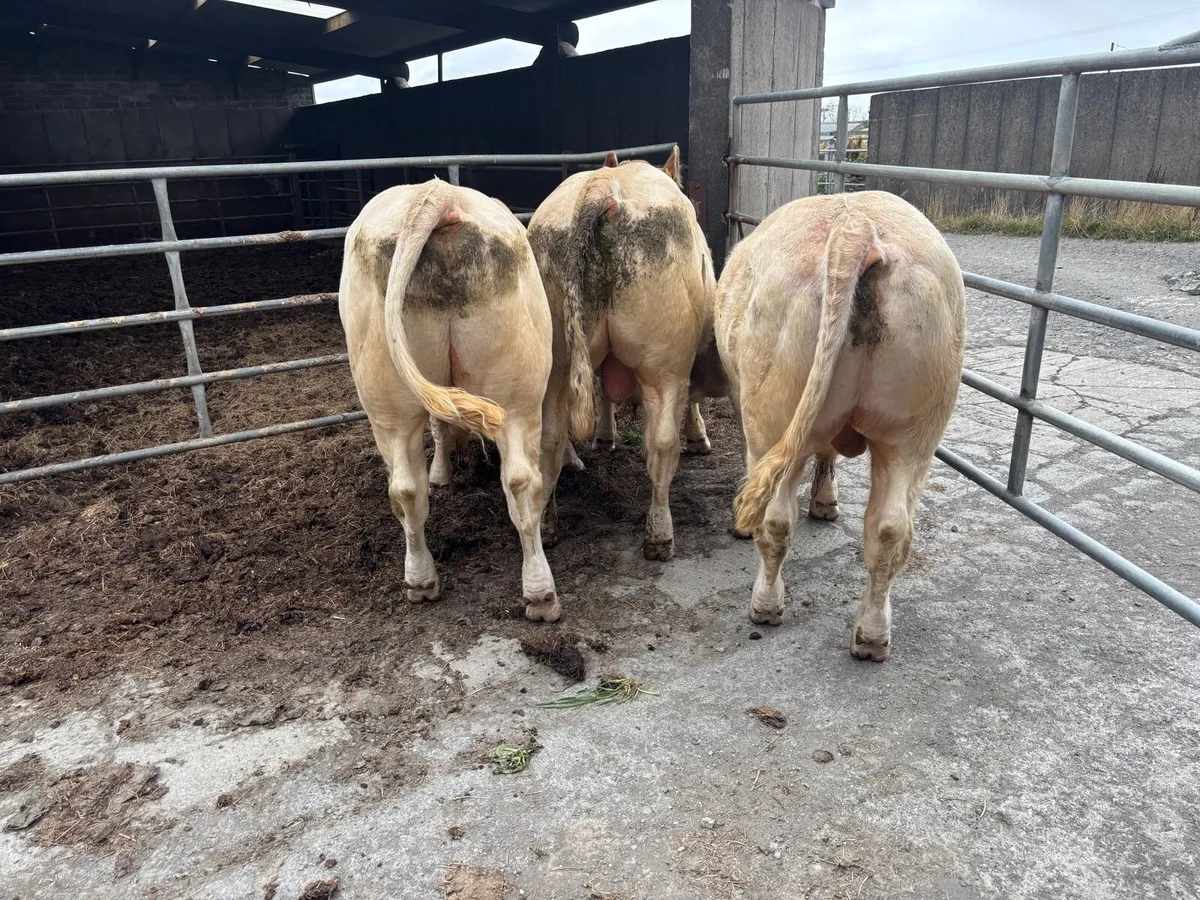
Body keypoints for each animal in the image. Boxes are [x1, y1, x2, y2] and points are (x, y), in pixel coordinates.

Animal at [339, 179, 562, 623]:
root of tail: (436, 195)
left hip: (388, 404)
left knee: (408, 487)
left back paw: (423, 581)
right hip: (516, 395)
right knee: (515, 482)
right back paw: (539, 595)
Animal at [526, 146, 719, 562]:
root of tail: (604, 189)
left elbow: (602, 390)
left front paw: (604, 436)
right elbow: (693, 402)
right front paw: (699, 437)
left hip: (556, 361)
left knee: (548, 440)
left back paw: (547, 525)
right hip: (664, 364)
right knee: (661, 444)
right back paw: (660, 536)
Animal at [717, 190, 965, 661]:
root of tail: (855, 227)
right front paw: (827, 502)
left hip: (773, 417)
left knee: (776, 520)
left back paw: (765, 606)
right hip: (914, 431)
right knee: (890, 529)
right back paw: (872, 636)